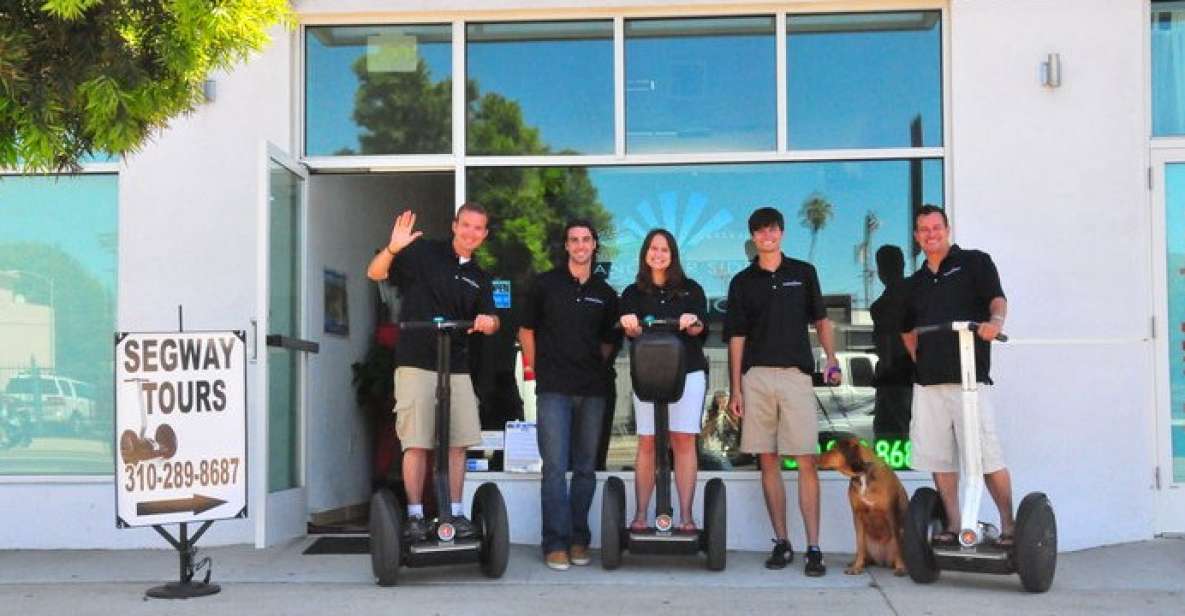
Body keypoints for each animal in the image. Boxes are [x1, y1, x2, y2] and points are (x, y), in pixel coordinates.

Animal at [820, 435, 910, 575]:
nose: (816, 457)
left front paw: (900, 567)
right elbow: (860, 544)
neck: (862, 474)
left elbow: (897, 544)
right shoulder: (857, 514)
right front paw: (857, 567)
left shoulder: (892, 515)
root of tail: (883, 561)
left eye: (834, 449)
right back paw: (858, 562)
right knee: (862, 550)